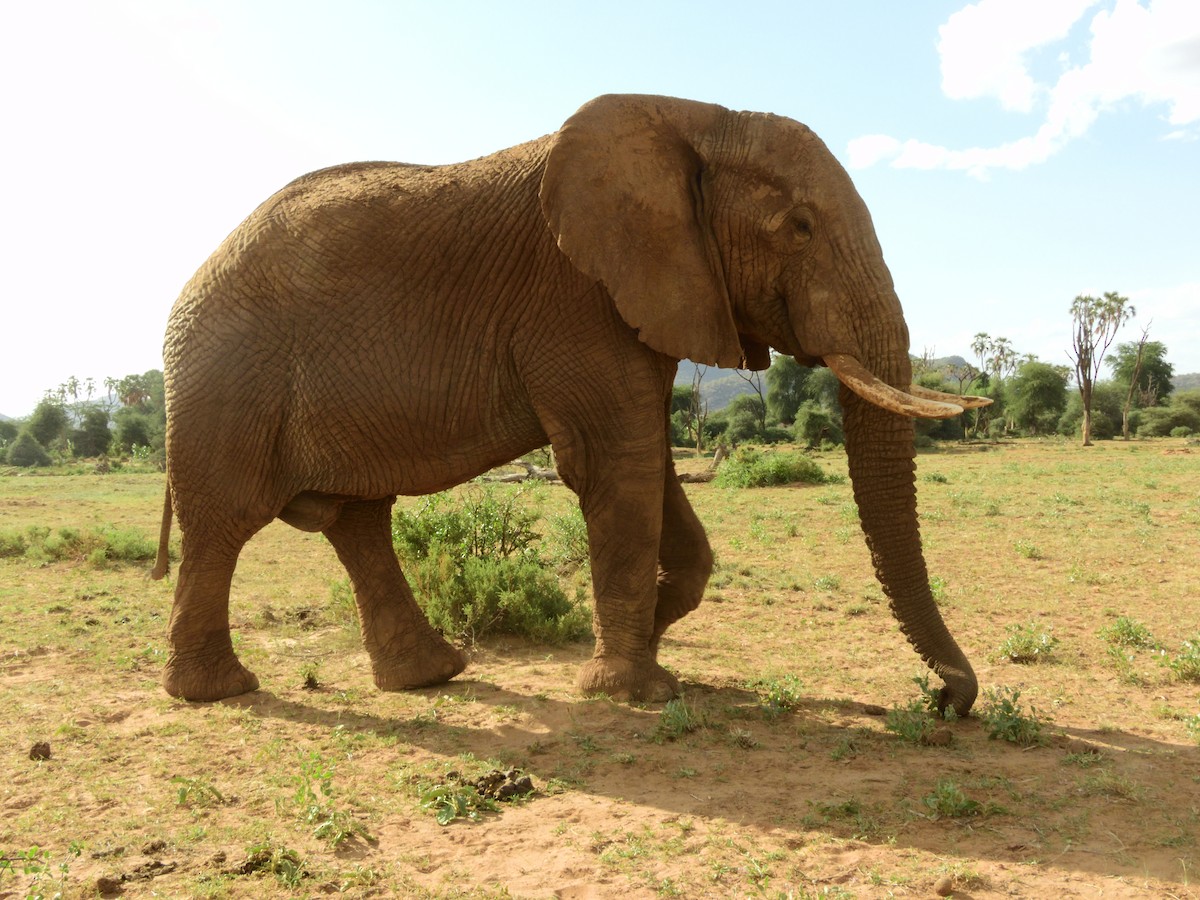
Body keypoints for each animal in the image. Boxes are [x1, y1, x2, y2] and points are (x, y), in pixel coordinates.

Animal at [152, 93, 989, 715]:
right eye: (800, 228)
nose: (947, 703)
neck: (695, 122)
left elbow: (651, 467)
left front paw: (649, 635)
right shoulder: (577, 300)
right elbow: (617, 463)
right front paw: (633, 689)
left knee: (358, 522)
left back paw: (430, 676)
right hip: (227, 382)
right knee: (225, 524)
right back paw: (219, 692)